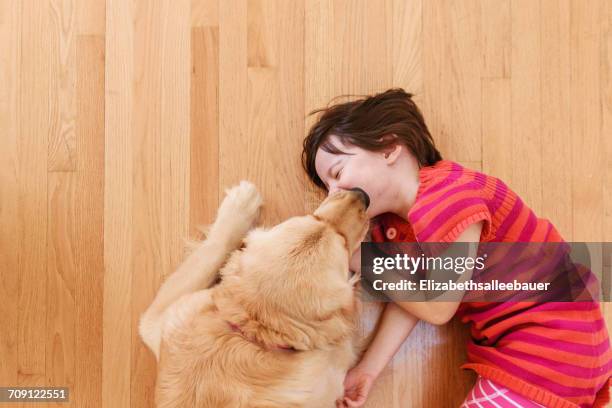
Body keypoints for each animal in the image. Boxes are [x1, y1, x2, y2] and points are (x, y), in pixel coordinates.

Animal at [138, 182, 368, 408]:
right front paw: (243, 202)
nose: (361, 195)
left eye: (314, 218)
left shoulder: (157, 321)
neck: (253, 327)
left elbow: (212, 249)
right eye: (343, 243)